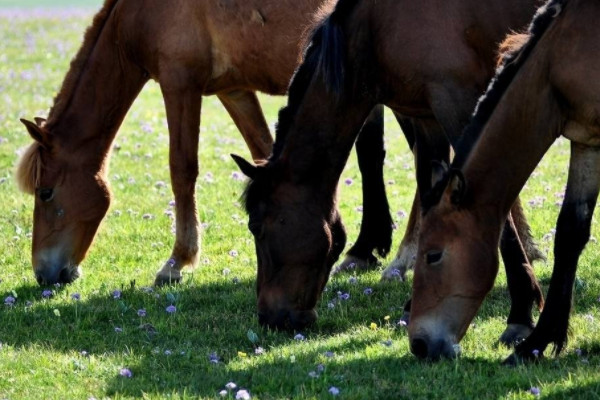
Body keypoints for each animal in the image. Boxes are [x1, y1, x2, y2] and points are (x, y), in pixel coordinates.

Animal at [14, 0, 396, 288]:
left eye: (45, 192)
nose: (44, 274)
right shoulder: (235, 91)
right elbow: (264, 152)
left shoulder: (180, 85)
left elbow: (182, 170)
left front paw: (178, 261)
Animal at [237, 0, 548, 332]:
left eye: (256, 226)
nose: (267, 317)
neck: (375, 29)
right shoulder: (426, 118)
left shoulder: (458, 104)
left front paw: (521, 311)